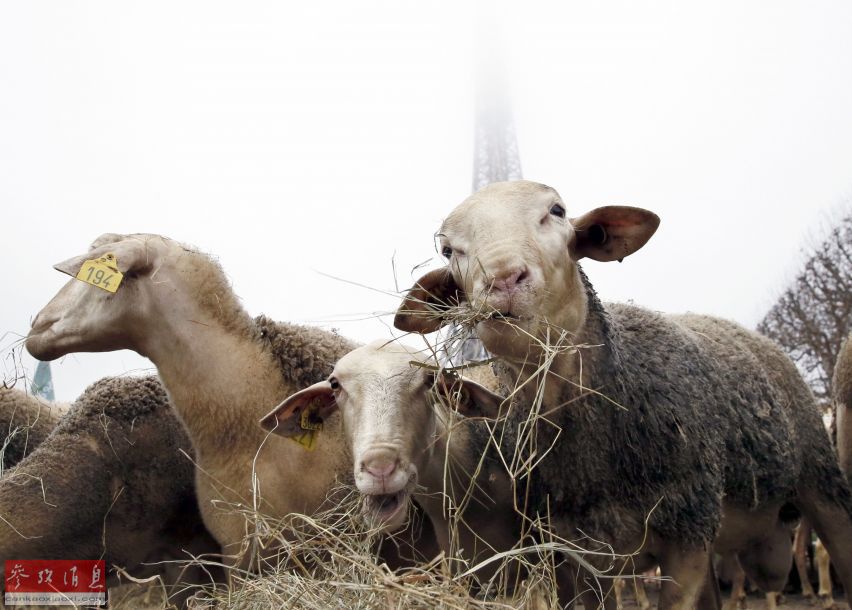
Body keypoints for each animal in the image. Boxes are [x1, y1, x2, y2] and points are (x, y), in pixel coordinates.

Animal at [396, 178, 852, 604]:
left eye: (557, 211)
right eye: (448, 250)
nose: (504, 279)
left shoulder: (687, 543)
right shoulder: (577, 556)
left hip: (821, 484)